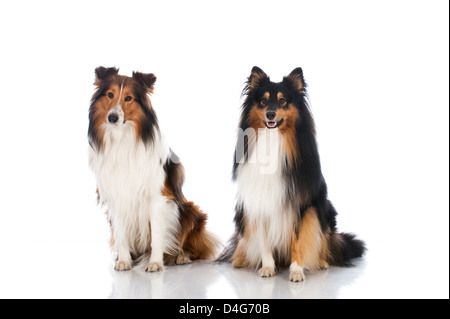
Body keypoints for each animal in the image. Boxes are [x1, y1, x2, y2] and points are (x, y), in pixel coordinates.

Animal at [88, 67, 220, 272]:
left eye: (128, 98)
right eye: (110, 94)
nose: (112, 118)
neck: (122, 138)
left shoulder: (158, 197)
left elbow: (157, 234)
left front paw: (156, 262)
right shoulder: (117, 197)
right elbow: (121, 234)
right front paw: (124, 260)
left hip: (189, 210)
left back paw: (180, 256)